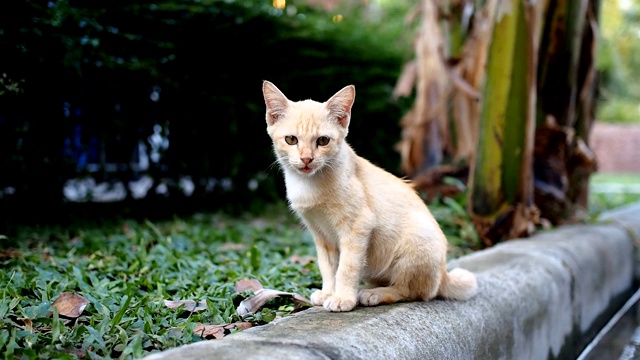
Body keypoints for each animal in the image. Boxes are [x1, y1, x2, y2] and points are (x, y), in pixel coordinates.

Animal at [262, 81, 478, 312]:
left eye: (323, 140)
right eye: (291, 139)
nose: (306, 159)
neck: (309, 184)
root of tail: (444, 273)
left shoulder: (358, 226)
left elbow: (346, 266)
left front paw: (342, 298)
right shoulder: (321, 234)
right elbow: (328, 267)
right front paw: (329, 292)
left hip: (417, 242)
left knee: (413, 291)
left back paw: (374, 294)